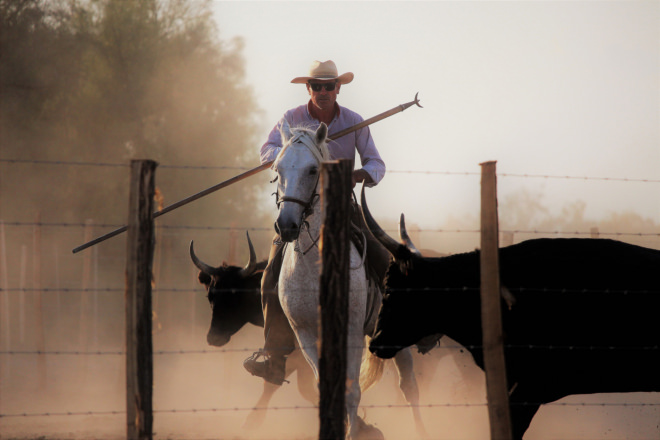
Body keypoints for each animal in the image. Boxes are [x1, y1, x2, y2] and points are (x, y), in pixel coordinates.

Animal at [274, 120, 428, 440]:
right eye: (278, 168)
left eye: (312, 170)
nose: (287, 225)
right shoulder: (307, 336)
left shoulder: (352, 333)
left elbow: (352, 391)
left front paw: (354, 432)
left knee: (409, 385)